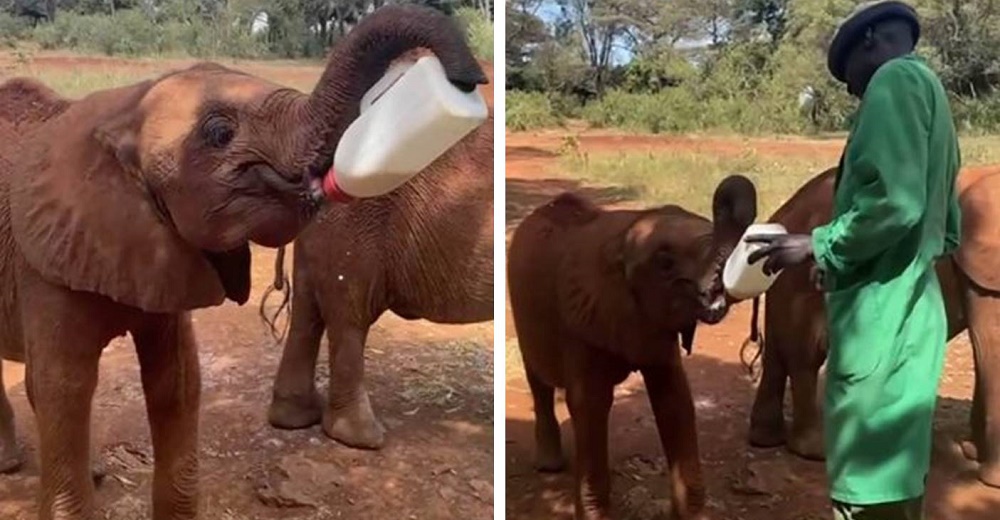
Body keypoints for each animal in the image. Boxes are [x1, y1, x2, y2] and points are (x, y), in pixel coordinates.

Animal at [512, 176, 752, 520]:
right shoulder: (580, 319)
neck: (623, 236)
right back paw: (549, 466)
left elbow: (675, 398)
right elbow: (590, 404)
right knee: (538, 381)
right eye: (665, 264)